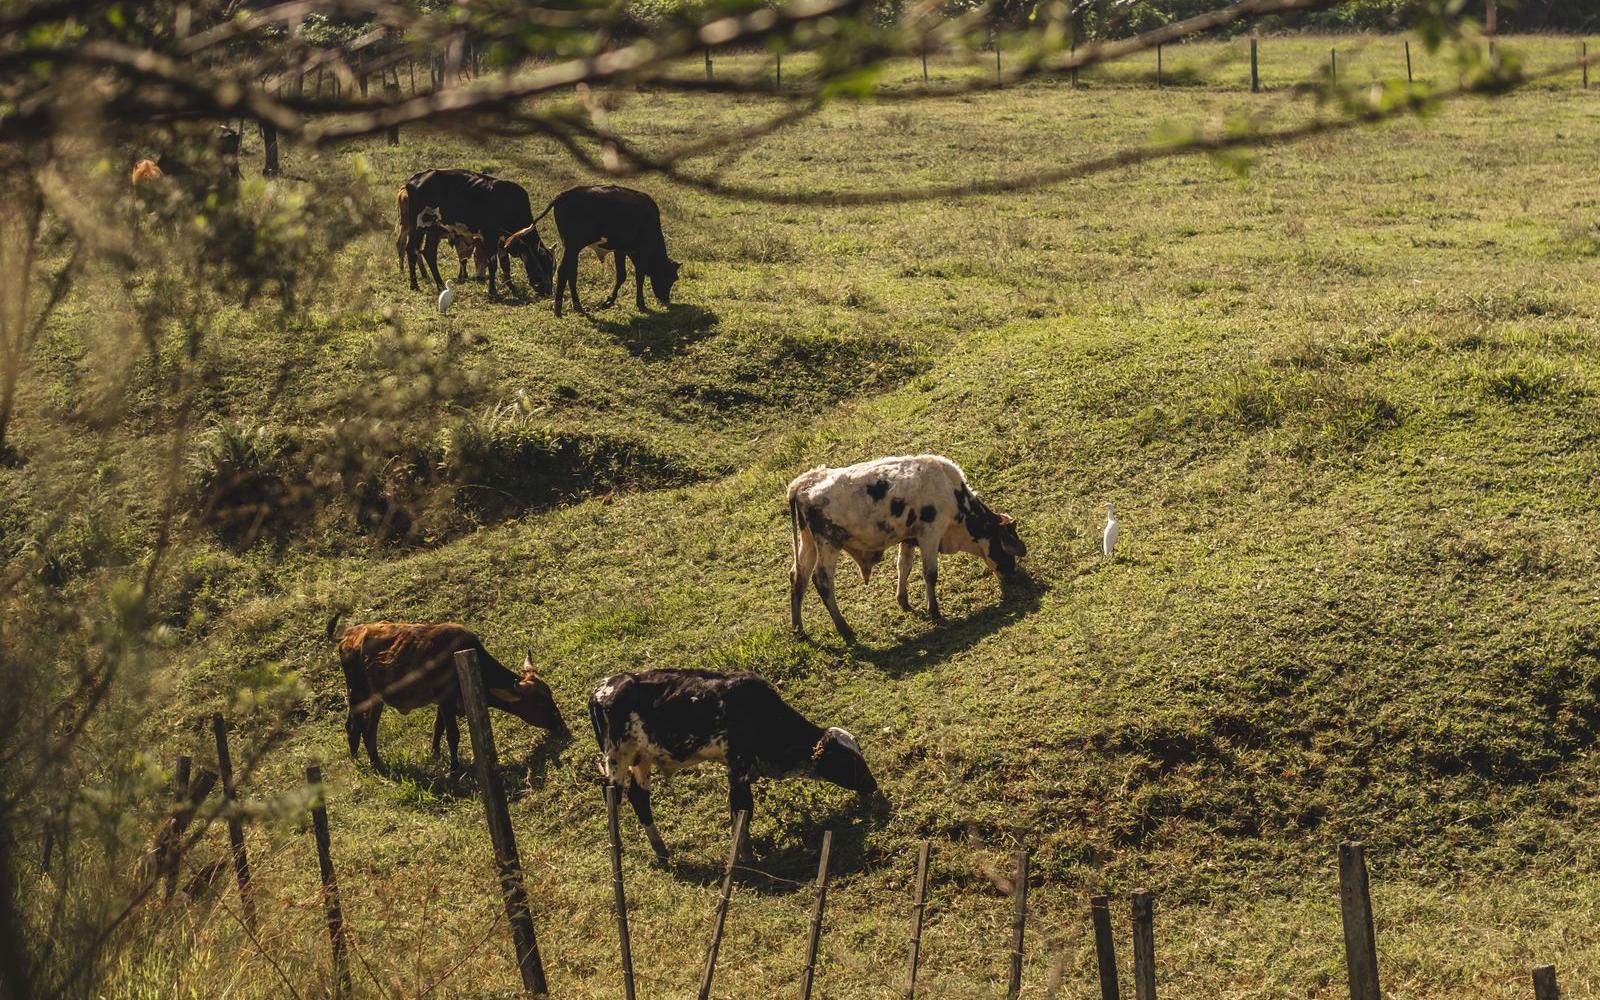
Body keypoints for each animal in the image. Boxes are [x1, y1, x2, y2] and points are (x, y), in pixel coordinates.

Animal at [331, 618, 566, 771]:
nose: (559, 722)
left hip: (376, 699)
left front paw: (435, 754)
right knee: (353, 726)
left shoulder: (446, 702)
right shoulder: (446, 699)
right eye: (540, 702)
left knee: (368, 729)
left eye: (549, 694)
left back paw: (374, 762)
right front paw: (454, 767)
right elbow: (453, 734)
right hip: (357, 693)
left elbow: (439, 727)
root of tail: (349, 635)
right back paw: (360, 762)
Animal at [397, 169, 555, 300]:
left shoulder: (502, 240)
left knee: (428, 253)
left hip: (433, 229)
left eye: (553, 267)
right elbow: (493, 264)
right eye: (543, 263)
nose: (548, 291)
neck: (509, 203)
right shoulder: (490, 237)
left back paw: (440, 284)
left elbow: (505, 265)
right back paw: (414, 285)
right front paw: (493, 292)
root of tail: (414, 179)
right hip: (419, 226)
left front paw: (512, 288)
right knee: (411, 250)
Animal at [509, 185, 681, 318]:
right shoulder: (631, 251)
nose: (666, 300)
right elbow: (629, 276)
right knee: (564, 271)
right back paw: (558, 309)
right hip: (572, 246)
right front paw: (620, 301)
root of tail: (565, 194)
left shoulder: (624, 251)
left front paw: (631, 302)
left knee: (571, 273)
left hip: (573, 249)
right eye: (671, 278)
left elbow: (631, 276)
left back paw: (577, 306)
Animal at [589, 669, 877, 865]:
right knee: (613, 796)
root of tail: (602, 688)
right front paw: (747, 856)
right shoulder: (738, 765)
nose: (872, 785)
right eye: (846, 760)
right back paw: (619, 846)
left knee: (639, 799)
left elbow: (737, 811)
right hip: (617, 758)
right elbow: (744, 808)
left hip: (642, 759)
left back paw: (661, 850)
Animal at [787, 454, 1028, 644]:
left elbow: (904, 566)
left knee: (798, 577)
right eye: (1006, 547)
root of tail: (801, 484)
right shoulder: (930, 534)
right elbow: (930, 573)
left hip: (808, 543)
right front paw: (934, 611)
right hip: (828, 544)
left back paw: (798, 629)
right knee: (822, 580)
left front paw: (903, 601)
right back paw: (844, 628)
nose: (1013, 575)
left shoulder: (909, 538)